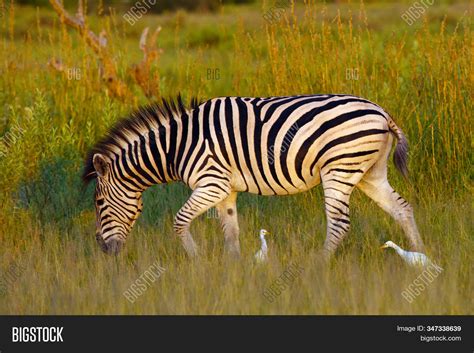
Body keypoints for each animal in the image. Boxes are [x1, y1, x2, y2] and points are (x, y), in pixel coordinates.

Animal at [82, 95, 426, 258]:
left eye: (99, 203)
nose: (101, 248)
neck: (176, 147)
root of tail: (382, 112)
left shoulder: (210, 183)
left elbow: (179, 222)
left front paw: (196, 261)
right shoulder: (225, 190)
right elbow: (231, 231)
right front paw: (234, 272)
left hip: (339, 170)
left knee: (340, 224)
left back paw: (317, 266)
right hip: (369, 173)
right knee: (402, 208)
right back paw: (422, 256)